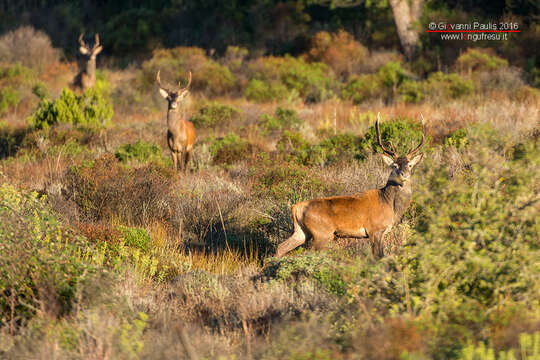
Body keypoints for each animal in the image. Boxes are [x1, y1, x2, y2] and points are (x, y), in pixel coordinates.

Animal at [278, 113, 426, 258]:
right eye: (394, 165)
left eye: (410, 165)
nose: (404, 174)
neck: (389, 205)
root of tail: (296, 207)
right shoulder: (374, 230)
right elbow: (378, 256)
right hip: (322, 233)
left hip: (301, 232)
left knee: (281, 247)